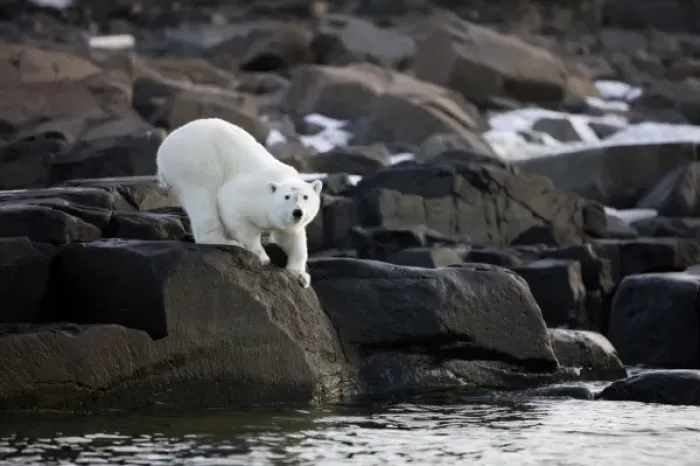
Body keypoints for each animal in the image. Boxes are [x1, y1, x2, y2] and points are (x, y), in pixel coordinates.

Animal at [156, 118, 323, 288]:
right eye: (287, 197)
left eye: (305, 197)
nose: (297, 212)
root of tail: (164, 146)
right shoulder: (248, 194)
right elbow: (238, 216)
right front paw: (261, 254)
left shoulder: (289, 223)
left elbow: (291, 237)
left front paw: (301, 275)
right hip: (196, 160)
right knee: (203, 198)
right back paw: (226, 242)